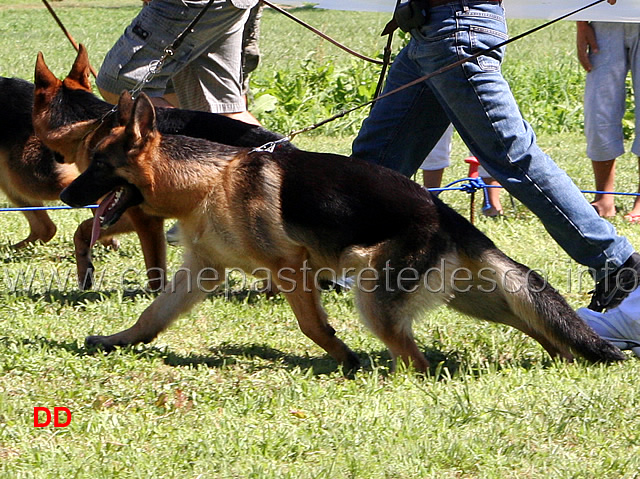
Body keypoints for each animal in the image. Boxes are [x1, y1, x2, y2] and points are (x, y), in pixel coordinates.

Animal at [28, 46, 292, 292]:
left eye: (99, 163)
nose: (64, 196)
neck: (91, 124)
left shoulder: (144, 218)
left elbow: (154, 268)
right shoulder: (136, 211)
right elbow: (84, 230)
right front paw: (85, 270)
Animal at [60, 92, 624, 374]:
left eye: (99, 166)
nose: (66, 195)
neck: (207, 181)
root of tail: (447, 216)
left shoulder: (291, 269)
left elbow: (312, 325)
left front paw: (344, 357)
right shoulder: (201, 273)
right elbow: (151, 315)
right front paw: (117, 340)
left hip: (373, 288)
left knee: (416, 359)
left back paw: (391, 378)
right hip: (472, 297)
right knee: (531, 319)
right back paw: (567, 357)